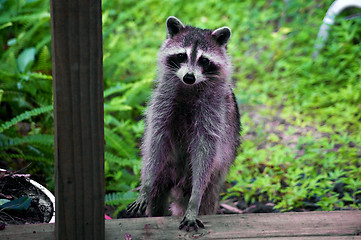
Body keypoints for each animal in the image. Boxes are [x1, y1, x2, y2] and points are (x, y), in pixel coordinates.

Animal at [126, 15, 239, 232]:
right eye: (181, 56)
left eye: (204, 60)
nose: (189, 77)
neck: (189, 88)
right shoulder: (162, 103)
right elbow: (156, 141)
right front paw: (144, 188)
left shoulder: (213, 112)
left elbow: (205, 152)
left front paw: (194, 201)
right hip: (165, 169)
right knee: (157, 194)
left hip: (216, 176)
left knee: (208, 196)